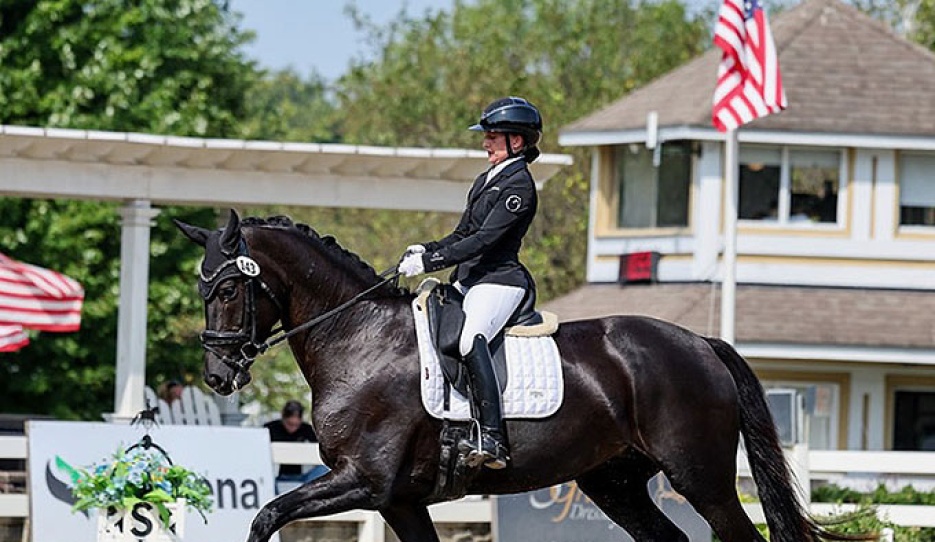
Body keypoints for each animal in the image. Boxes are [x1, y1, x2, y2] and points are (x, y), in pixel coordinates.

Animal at [175, 210, 870, 542]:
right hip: (614, 482)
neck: (358, 341)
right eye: (202, 288)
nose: (217, 375)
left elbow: (265, 516)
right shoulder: (398, 500)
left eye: (229, 288)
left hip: (702, 478)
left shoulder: (363, 483)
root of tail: (700, 342)